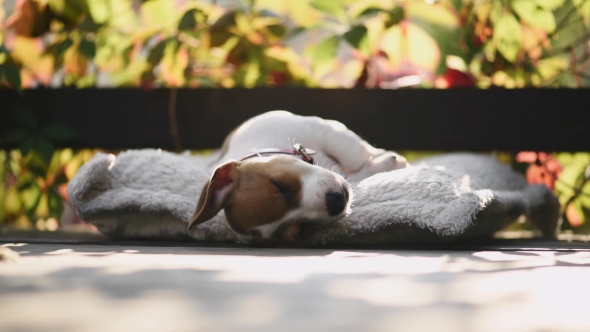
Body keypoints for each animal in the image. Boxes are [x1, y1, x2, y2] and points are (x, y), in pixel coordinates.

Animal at [187, 110, 410, 243]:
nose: (335, 202)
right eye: (301, 230)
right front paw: (385, 164)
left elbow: (353, 153)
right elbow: (357, 171)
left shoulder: (326, 129)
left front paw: (386, 158)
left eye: (280, 186)